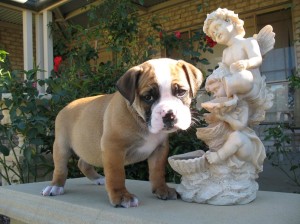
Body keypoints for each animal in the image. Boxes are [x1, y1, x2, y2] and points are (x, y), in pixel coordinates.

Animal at [41, 58, 203, 208]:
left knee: (83, 162)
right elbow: (116, 175)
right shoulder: (113, 148)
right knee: (61, 168)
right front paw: (121, 196)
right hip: (61, 146)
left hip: (90, 146)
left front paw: (161, 189)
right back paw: (55, 186)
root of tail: (67, 106)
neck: (141, 120)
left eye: (181, 92)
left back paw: (97, 178)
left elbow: (157, 171)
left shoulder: (160, 149)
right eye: (148, 97)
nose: (169, 115)